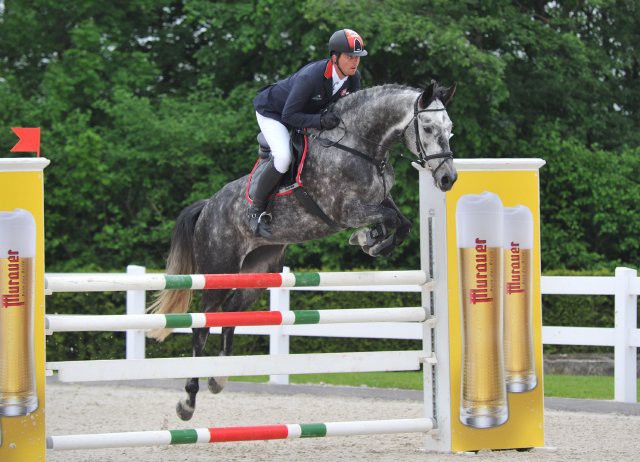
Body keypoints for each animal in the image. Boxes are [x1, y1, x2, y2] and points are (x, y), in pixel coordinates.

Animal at [148, 81, 458, 420]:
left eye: (450, 129)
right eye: (427, 127)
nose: (448, 178)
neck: (360, 147)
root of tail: (207, 207)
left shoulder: (378, 201)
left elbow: (400, 223)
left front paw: (370, 240)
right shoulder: (345, 211)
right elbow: (389, 220)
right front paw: (368, 239)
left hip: (258, 272)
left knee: (231, 312)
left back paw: (219, 377)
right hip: (218, 271)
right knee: (202, 323)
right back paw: (188, 400)